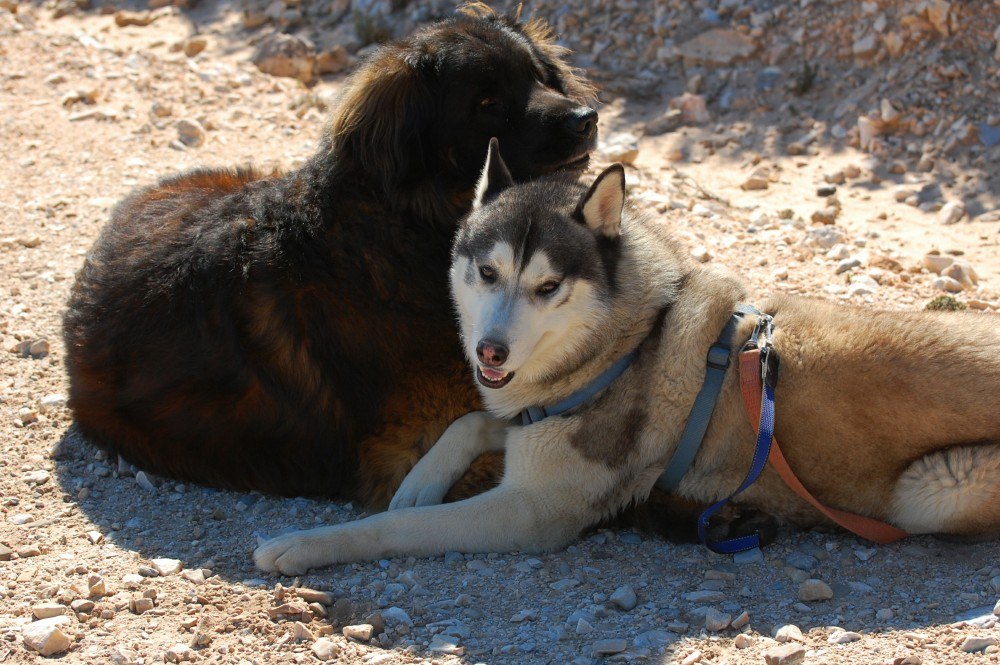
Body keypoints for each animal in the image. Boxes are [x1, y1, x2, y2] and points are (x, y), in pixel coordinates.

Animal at [256, 143, 1000, 572]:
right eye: (487, 272)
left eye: (547, 287)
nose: (490, 349)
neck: (627, 338)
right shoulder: (532, 415)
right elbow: (473, 420)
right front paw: (420, 477)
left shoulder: (532, 509)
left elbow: (396, 526)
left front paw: (305, 546)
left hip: (933, 488)